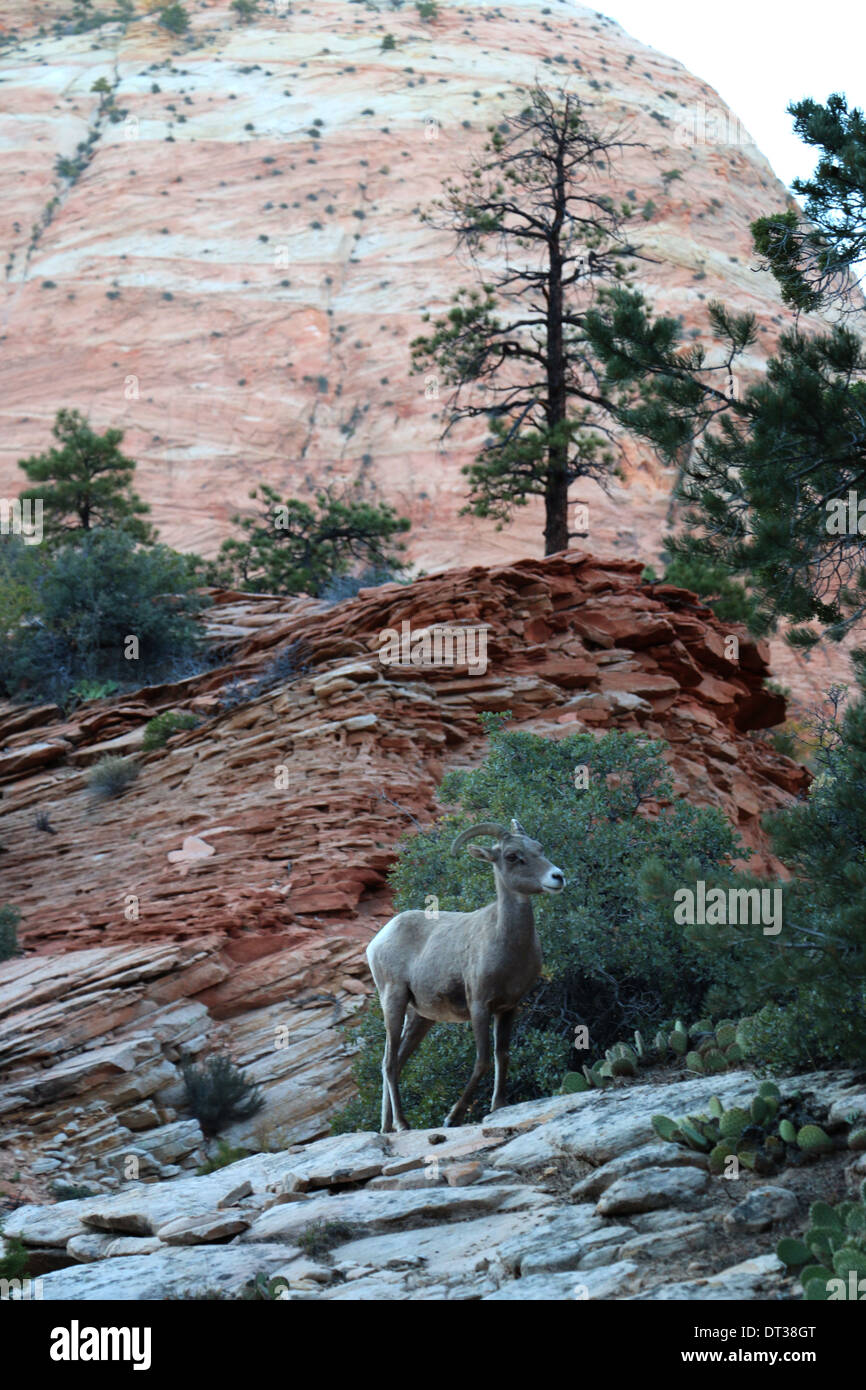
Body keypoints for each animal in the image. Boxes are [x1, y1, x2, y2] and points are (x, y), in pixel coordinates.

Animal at [364, 822, 561, 1128]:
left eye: (539, 848)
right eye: (512, 856)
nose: (557, 877)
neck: (505, 943)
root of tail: (377, 940)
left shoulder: (508, 1008)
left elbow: (502, 1055)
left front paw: (498, 1105)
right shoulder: (479, 1005)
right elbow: (482, 1060)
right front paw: (452, 1118)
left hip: (420, 1017)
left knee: (396, 1061)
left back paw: (388, 1129)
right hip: (393, 1001)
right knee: (389, 1063)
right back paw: (402, 1124)